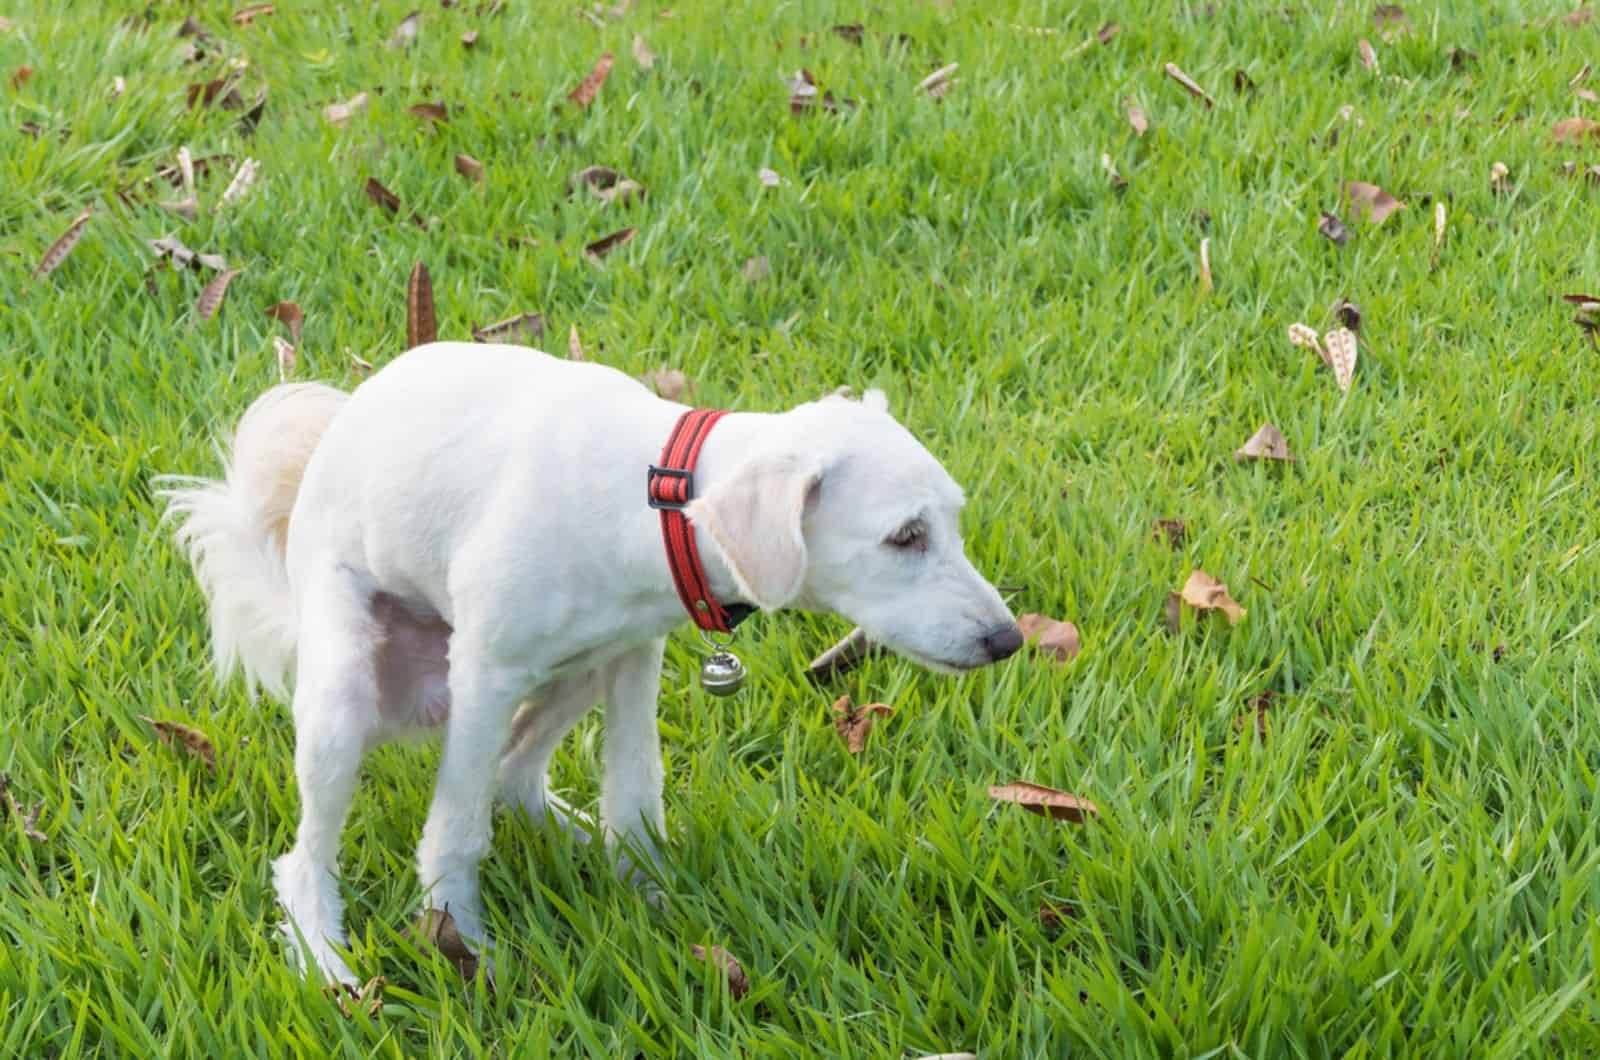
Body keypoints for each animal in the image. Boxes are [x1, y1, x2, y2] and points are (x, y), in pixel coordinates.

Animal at [156, 344, 1017, 986]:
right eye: (905, 537)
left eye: (950, 521)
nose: (1006, 640)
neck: (656, 498)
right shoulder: (484, 676)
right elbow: (456, 830)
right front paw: (462, 942)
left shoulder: (635, 656)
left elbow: (634, 799)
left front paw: (655, 898)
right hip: (344, 695)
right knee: (306, 859)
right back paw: (324, 961)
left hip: (578, 670)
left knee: (515, 776)